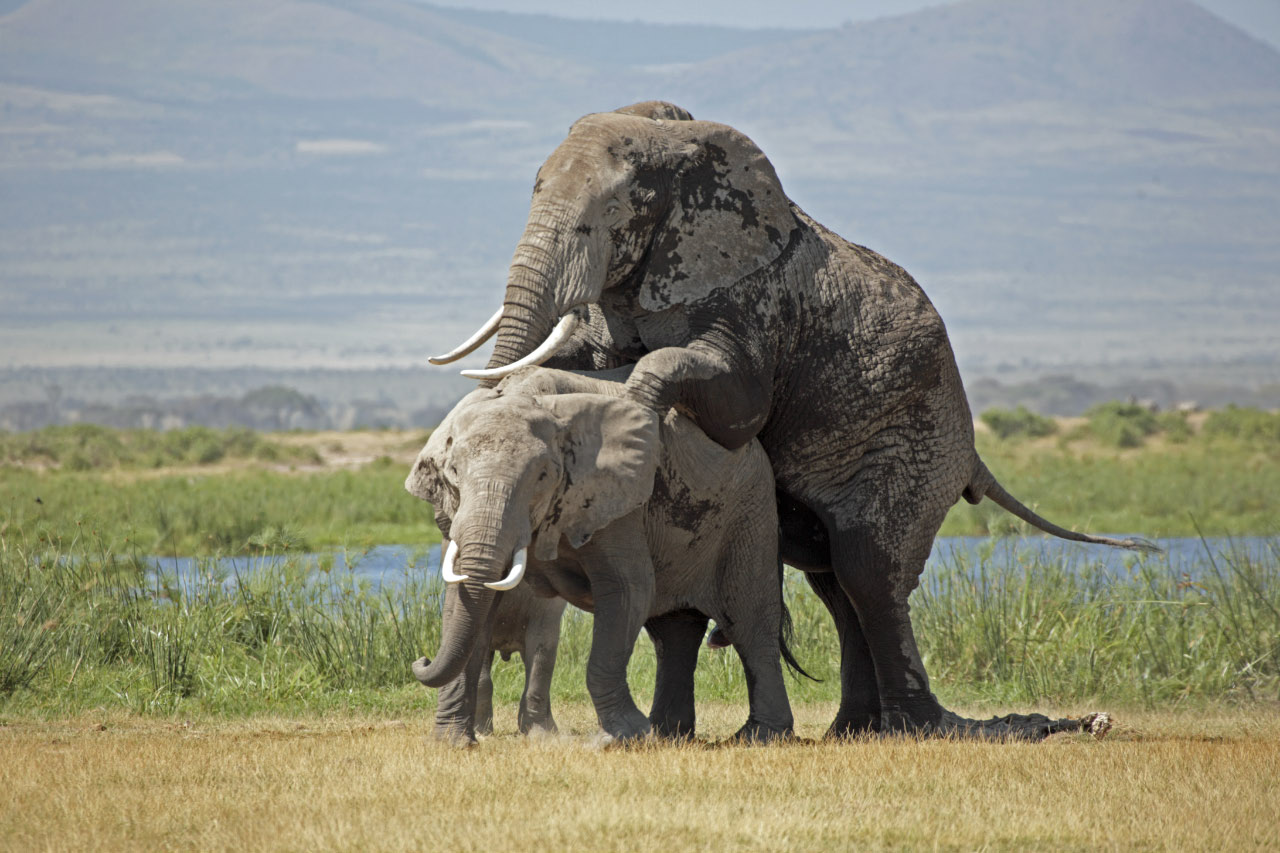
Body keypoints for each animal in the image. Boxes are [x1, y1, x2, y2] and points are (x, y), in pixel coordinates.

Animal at [404, 366, 793, 742]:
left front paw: (623, 737)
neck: (527, 393)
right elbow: (465, 604)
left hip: (750, 511)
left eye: (543, 475)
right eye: (453, 473)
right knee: (673, 632)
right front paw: (452, 743)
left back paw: (760, 736)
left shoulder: (617, 498)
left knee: (749, 622)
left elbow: (627, 589)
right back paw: (668, 733)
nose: (420, 659)